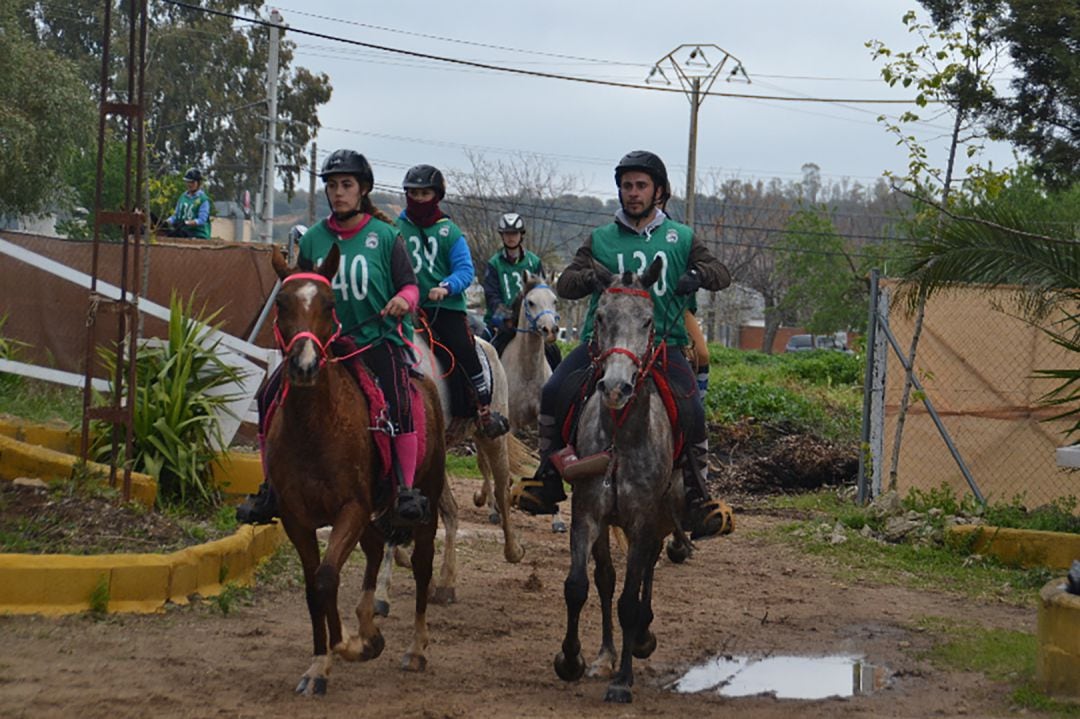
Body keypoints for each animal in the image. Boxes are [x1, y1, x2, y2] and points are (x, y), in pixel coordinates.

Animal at [265, 243, 447, 690]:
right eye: (281, 302)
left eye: (329, 304)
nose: (305, 366)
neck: (315, 428)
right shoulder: (296, 517)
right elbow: (314, 585)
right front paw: (324, 659)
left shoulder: (351, 508)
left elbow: (328, 577)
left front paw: (344, 646)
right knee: (376, 548)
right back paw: (368, 627)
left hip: (425, 502)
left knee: (421, 565)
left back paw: (415, 649)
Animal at [557, 258, 691, 699]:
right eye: (600, 316)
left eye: (648, 321)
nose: (616, 387)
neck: (620, 436)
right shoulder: (587, 514)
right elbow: (579, 586)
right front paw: (572, 660)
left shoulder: (642, 519)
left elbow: (630, 601)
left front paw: (623, 681)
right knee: (606, 579)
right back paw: (606, 654)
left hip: (663, 514)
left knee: (645, 569)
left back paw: (642, 640)